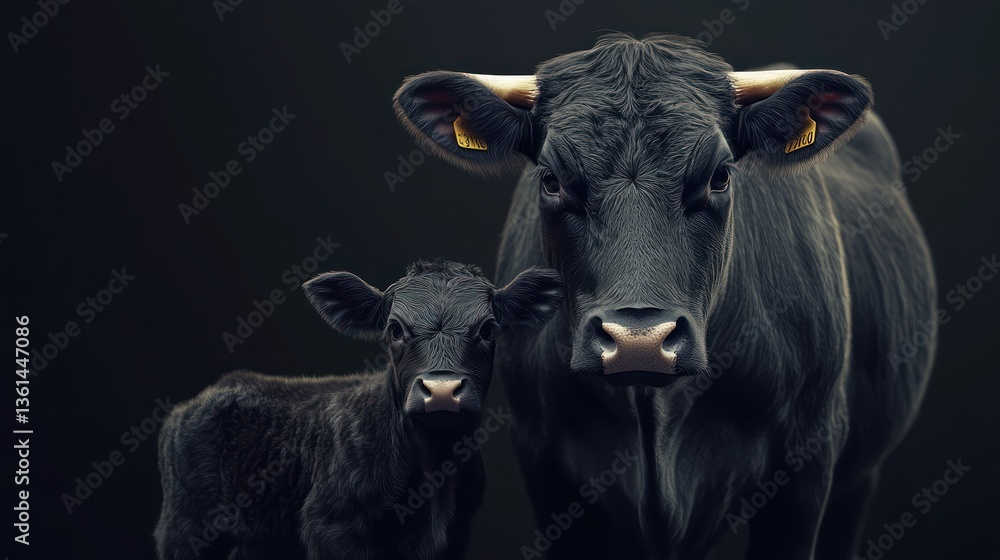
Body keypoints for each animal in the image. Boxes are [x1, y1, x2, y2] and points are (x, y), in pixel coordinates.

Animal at [154, 260, 563, 560]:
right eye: (395, 329)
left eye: (487, 329)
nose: (442, 391)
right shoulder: (330, 527)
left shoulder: (458, 532)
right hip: (186, 527)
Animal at [392, 33, 936, 559]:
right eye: (551, 180)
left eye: (720, 176)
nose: (640, 341)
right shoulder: (543, 462)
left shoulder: (808, 463)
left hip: (857, 477)